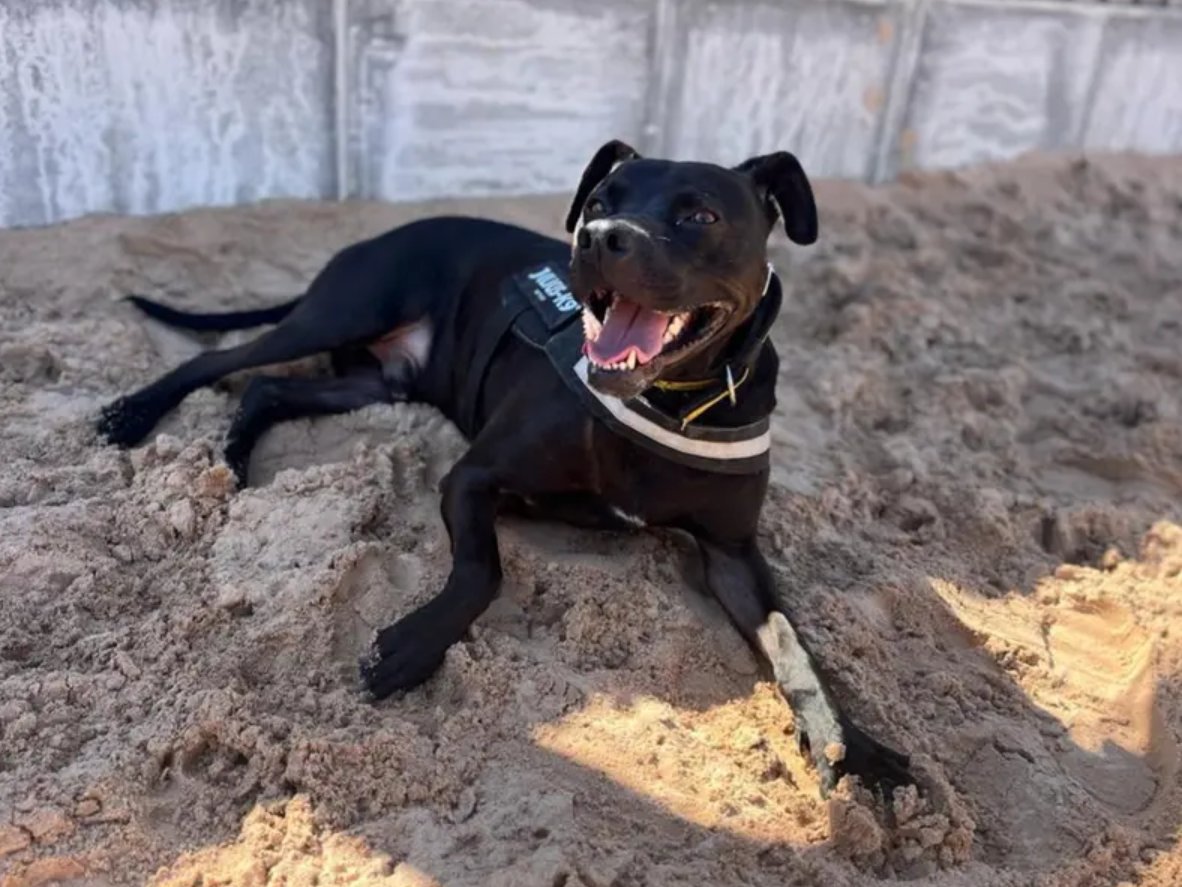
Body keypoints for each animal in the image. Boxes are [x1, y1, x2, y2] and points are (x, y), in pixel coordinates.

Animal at [99, 140, 912, 799]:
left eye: (700, 216)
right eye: (599, 202)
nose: (600, 237)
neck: (671, 402)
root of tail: (382, 233)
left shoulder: (734, 554)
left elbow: (794, 644)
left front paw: (852, 748)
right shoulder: (471, 477)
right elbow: (483, 570)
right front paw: (412, 645)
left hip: (379, 383)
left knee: (267, 388)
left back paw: (234, 460)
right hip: (344, 312)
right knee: (221, 361)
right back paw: (139, 418)